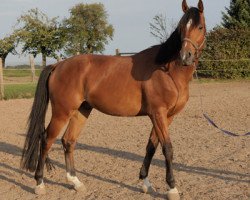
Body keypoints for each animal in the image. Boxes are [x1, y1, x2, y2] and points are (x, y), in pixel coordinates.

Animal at [21, 0, 205, 199]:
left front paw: (146, 183)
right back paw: (39, 184)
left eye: (200, 27)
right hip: (62, 112)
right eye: (181, 27)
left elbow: (151, 147)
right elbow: (167, 148)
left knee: (68, 141)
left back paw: (76, 182)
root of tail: (58, 65)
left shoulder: (167, 117)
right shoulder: (158, 114)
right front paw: (172, 188)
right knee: (46, 140)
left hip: (82, 110)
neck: (167, 70)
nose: (185, 56)